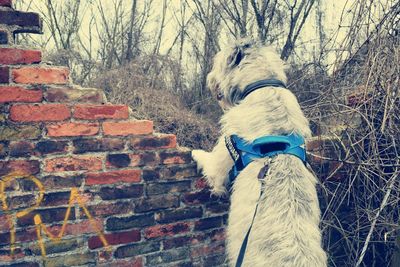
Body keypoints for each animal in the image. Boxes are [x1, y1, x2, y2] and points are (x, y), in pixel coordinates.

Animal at [192, 40, 326, 267]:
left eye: (218, 63)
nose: (209, 79)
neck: (263, 84)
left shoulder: (225, 151)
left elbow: (211, 166)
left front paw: (195, 152)